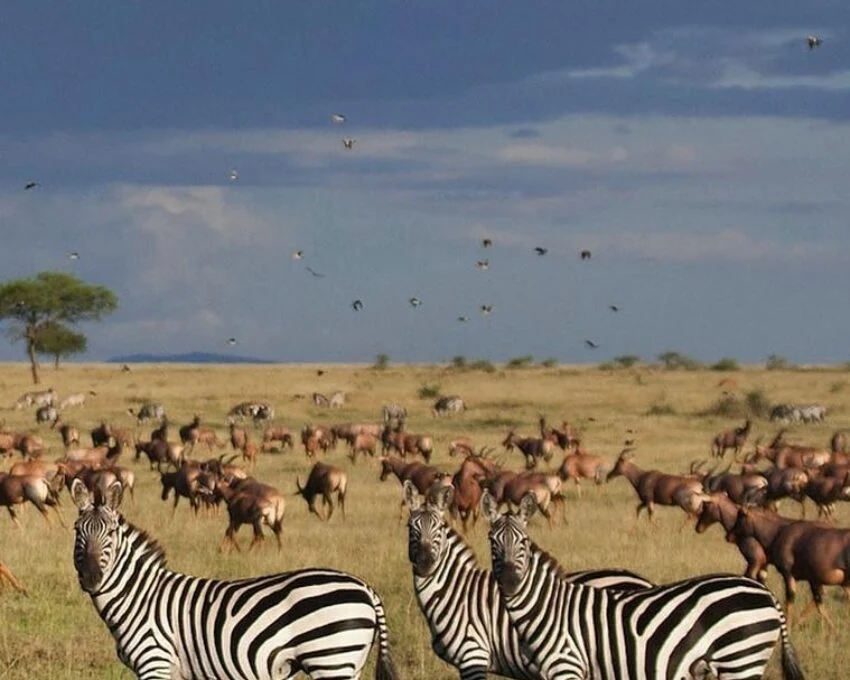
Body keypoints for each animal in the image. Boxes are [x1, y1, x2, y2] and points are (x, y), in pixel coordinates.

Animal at [71, 478, 399, 680]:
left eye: (111, 532)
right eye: (77, 531)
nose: (91, 577)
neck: (139, 597)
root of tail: (365, 587)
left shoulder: (155, 662)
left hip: (330, 658)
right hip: (350, 663)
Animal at [403, 481, 653, 680]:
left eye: (439, 528)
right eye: (410, 528)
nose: (425, 563)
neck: (456, 591)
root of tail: (643, 582)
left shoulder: (473, 654)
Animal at [482, 492, 806, 680]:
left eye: (524, 542)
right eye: (491, 541)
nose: (509, 581)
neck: (550, 607)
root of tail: (767, 594)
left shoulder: (567, 665)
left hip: (741, 657)